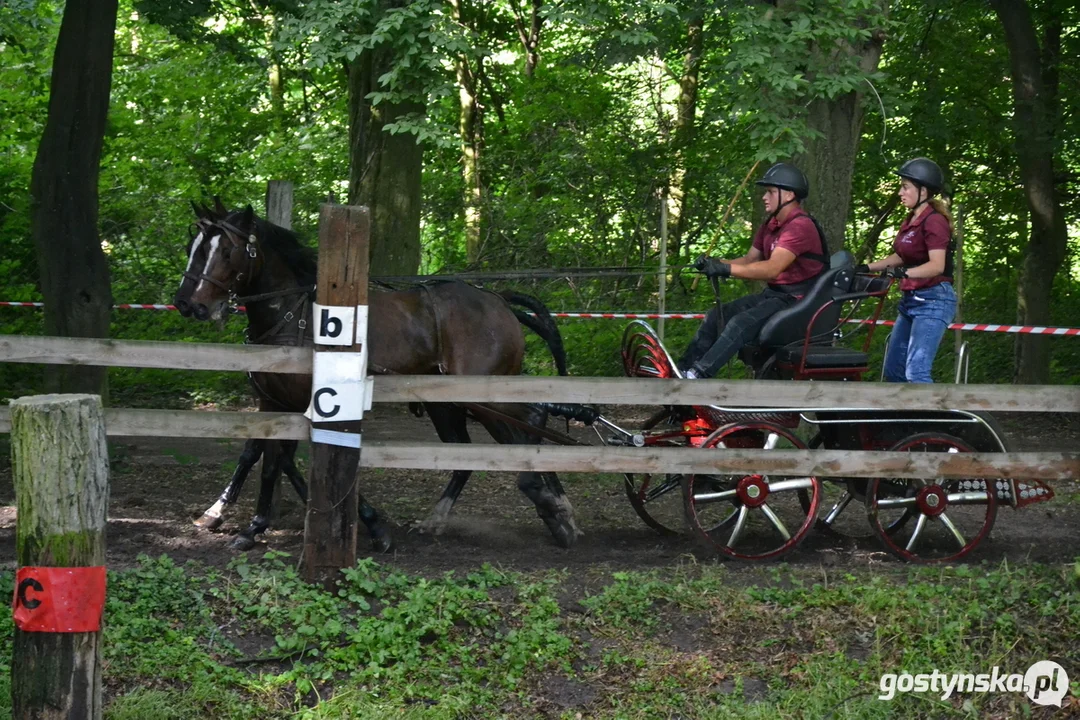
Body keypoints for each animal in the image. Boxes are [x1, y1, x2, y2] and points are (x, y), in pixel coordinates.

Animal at [174, 201, 583, 552]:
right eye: (193, 248)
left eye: (226, 251)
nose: (188, 303)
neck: (295, 315)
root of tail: (498, 300)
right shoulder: (271, 402)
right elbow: (263, 456)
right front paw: (248, 523)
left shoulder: (307, 403)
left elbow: (283, 459)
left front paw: (370, 525)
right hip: (446, 403)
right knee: (473, 452)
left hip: (482, 395)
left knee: (532, 418)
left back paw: (553, 505)